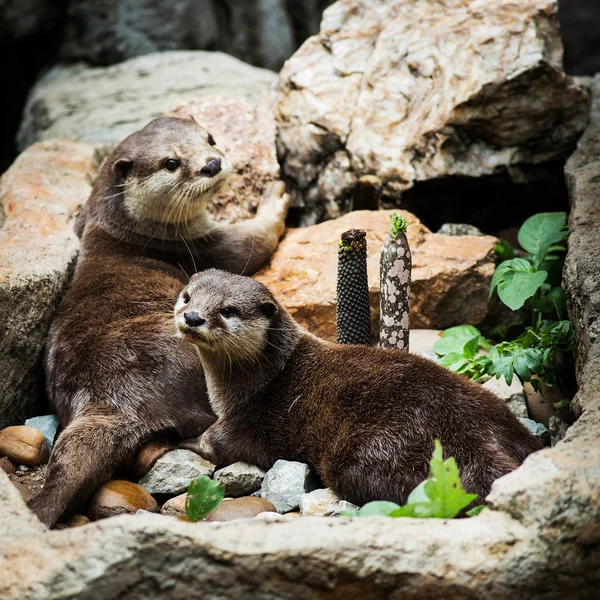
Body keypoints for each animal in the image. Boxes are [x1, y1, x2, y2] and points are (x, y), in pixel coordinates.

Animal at [28, 116, 290, 524]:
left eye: (210, 138)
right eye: (171, 162)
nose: (212, 163)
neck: (133, 231)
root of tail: (108, 399)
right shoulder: (203, 247)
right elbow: (256, 239)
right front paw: (273, 197)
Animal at [175, 270, 544, 508]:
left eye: (227, 310)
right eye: (187, 296)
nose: (193, 317)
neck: (261, 378)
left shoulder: (246, 421)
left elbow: (213, 443)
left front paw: (180, 441)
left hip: (369, 454)